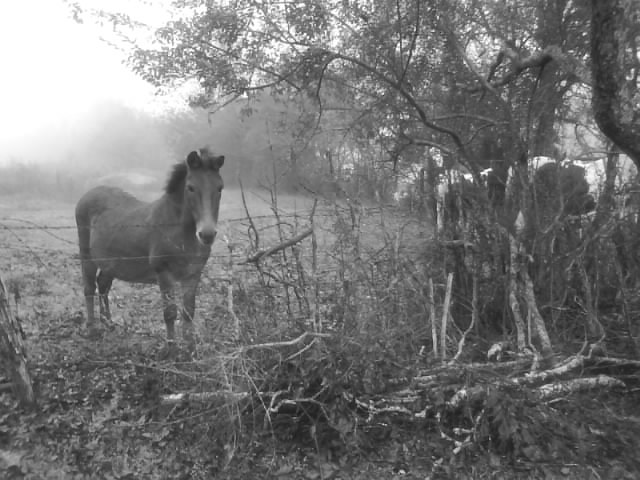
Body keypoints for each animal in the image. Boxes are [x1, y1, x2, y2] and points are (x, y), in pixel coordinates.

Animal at [74, 147, 225, 344]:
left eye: (220, 188)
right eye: (190, 188)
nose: (207, 234)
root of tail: (88, 193)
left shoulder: (193, 274)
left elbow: (188, 312)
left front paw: (190, 346)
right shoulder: (164, 273)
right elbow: (170, 313)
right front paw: (171, 347)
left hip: (111, 262)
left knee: (103, 285)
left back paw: (108, 323)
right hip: (87, 256)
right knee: (89, 288)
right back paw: (92, 329)